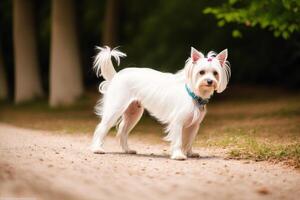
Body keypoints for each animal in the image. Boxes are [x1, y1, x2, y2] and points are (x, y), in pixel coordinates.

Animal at [90, 46, 231, 160]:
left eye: (215, 73)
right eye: (201, 72)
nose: (209, 81)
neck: (193, 94)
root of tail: (116, 75)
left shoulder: (194, 126)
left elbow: (189, 141)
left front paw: (190, 153)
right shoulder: (177, 123)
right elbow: (179, 141)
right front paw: (179, 155)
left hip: (133, 114)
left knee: (123, 132)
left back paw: (128, 150)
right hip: (114, 110)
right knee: (101, 128)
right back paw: (97, 148)